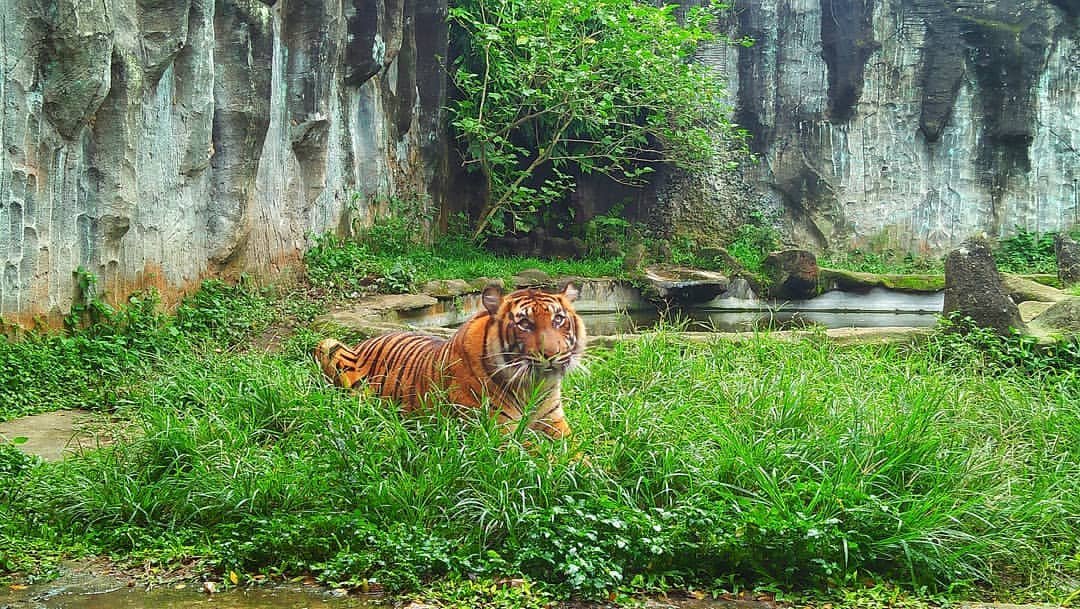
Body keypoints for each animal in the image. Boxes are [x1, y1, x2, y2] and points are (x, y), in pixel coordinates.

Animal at [313, 282, 587, 440]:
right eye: (524, 323)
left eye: (558, 319)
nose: (552, 354)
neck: (534, 386)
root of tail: (366, 340)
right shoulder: (498, 434)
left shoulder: (555, 424)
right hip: (328, 344)